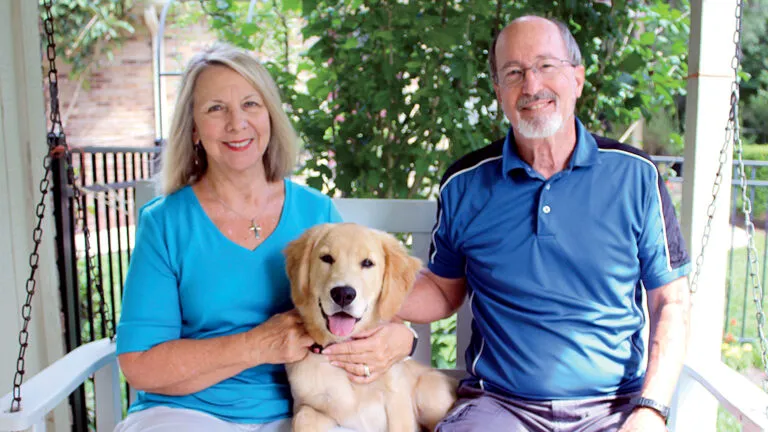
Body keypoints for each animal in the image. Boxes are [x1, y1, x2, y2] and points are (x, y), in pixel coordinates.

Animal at [284, 223, 456, 432]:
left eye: (367, 263)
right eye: (326, 258)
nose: (343, 294)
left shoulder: (398, 404)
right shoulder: (310, 406)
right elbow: (302, 417)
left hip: (431, 392)